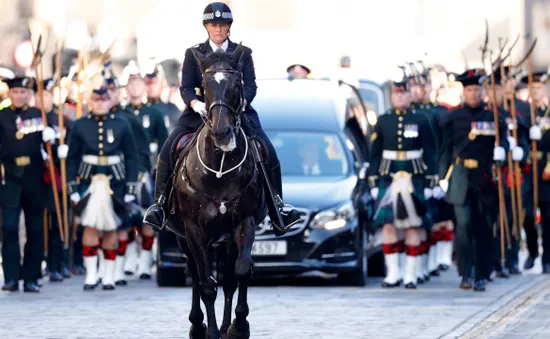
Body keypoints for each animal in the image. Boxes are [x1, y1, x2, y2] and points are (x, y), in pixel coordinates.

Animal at [170, 45, 268, 339]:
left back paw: (226, 326)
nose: (222, 131)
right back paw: (197, 325)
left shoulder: (244, 222)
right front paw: (211, 331)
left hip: (225, 239)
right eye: (204, 85)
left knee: (227, 279)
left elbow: (241, 271)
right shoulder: (193, 230)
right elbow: (206, 284)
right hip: (183, 237)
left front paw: (239, 326)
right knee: (195, 273)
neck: (220, 170)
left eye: (236, 84)